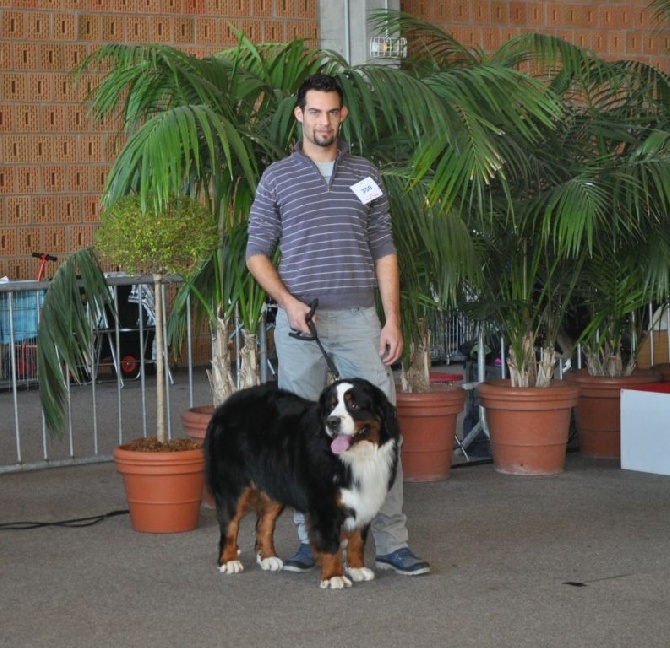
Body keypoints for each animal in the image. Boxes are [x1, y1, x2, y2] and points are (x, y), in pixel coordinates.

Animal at [205, 378, 402, 588]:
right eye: (330, 407)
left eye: (354, 405)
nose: (332, 421)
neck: (355, 457)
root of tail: (227, 403)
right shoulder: (325, 506)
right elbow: (331, 545)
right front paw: (334, 576)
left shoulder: (364, 499)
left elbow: (357, 540)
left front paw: (357, 568)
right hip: (234, 486)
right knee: (230, 524)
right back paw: (229, 560)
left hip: (275, 485)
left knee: (264, 523)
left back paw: (268, 558)